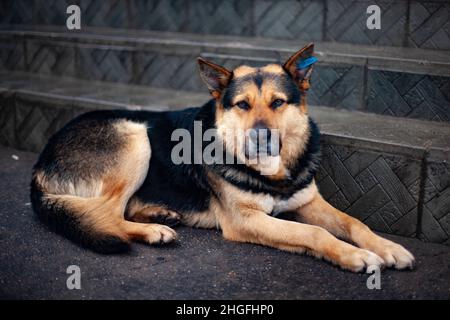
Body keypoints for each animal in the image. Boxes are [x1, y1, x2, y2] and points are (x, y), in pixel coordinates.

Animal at [30, 42, 414, 272]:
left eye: (278, 102)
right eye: (242, 105)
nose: (260, 137)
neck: (271, 173)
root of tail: (39, 162)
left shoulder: (309, 202)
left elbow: (353, 223)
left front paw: (386, 247)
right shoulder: (246, 220)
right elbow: (315, 234)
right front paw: (355, 255)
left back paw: (158, 214)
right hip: (136, 136)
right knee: (104, 214)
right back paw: (153, 230)